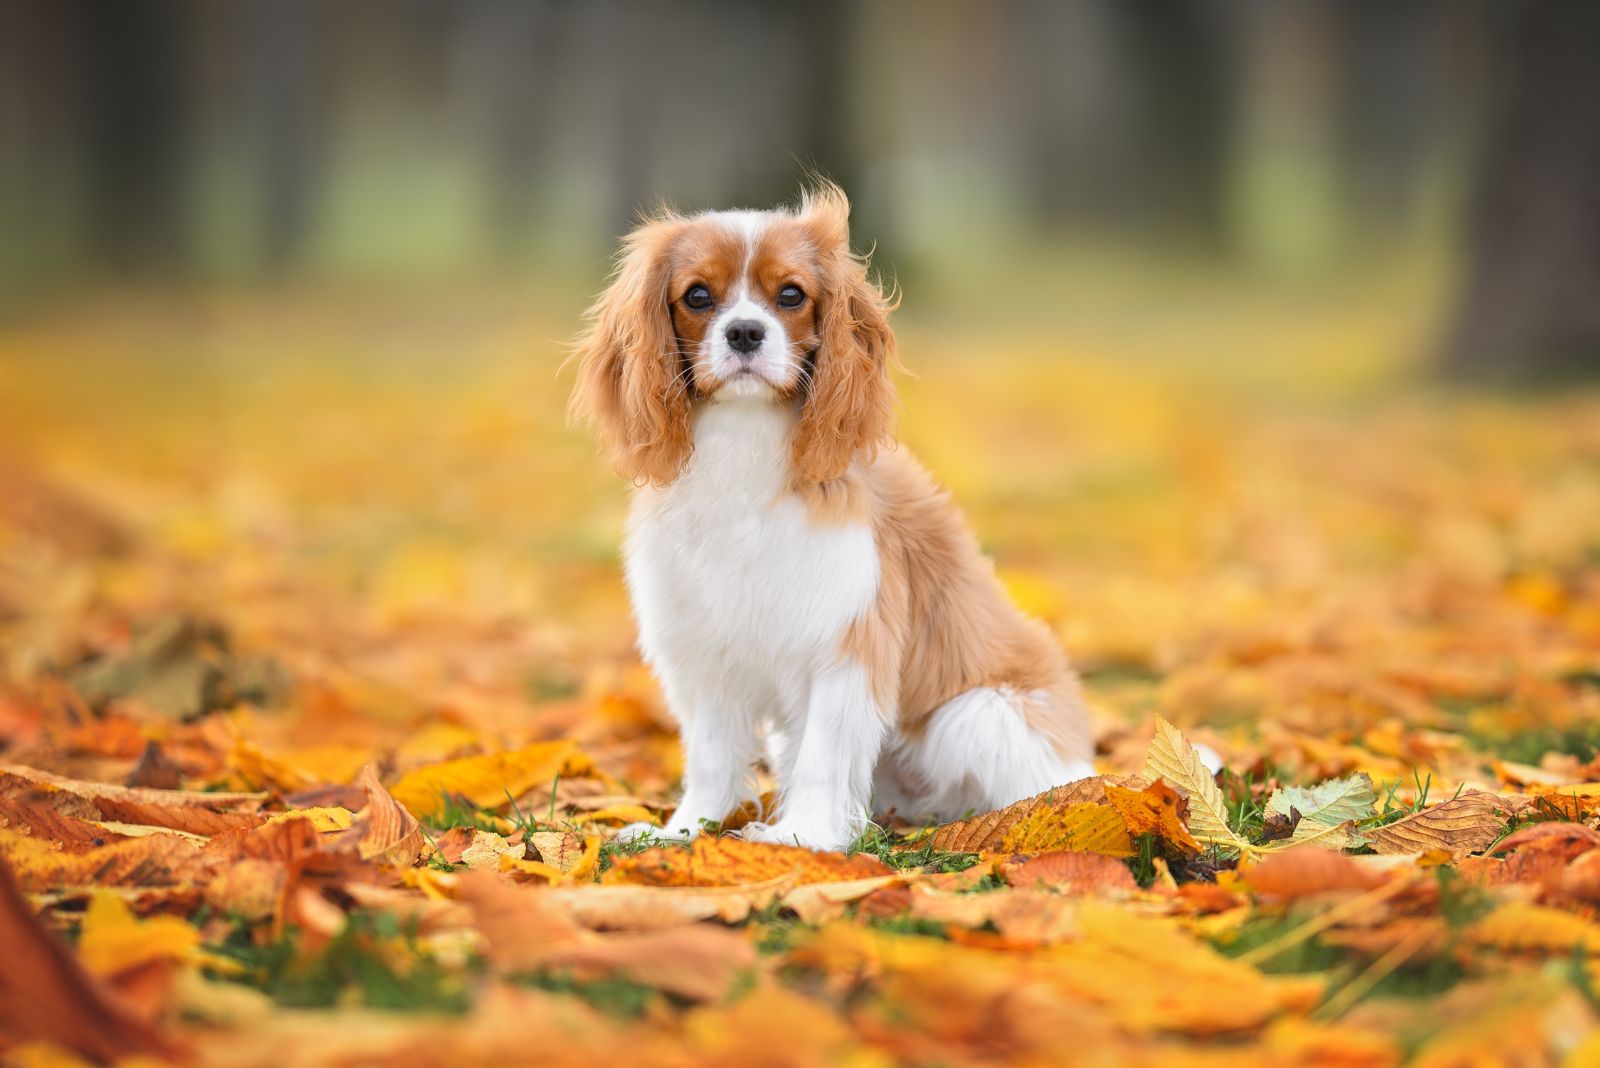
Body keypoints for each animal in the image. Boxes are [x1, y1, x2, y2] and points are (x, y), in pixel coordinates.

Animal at [569, 183, 1094, 850]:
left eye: (791, 295)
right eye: (698, 296)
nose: (745, 332)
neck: (744, 439)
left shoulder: (845, 642)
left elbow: (823, 753)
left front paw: (804, 838)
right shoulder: (703, 650)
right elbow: (711, 755)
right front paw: (688, 830)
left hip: (977, 714)